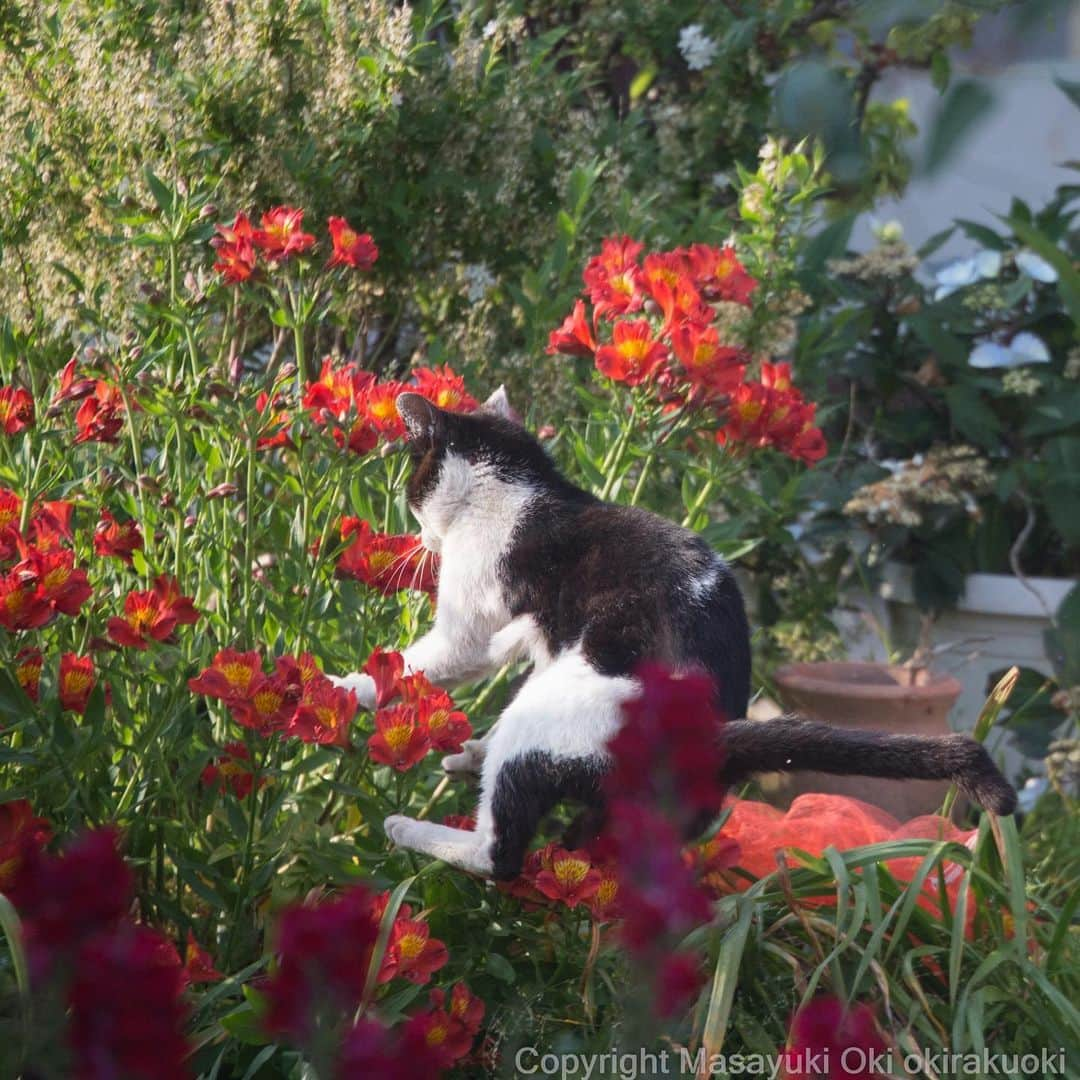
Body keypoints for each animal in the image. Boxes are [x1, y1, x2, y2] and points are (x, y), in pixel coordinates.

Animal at [326, 393, 1010, 881]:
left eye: (413, 489)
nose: (420, 536)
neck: (520, 487)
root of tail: (714, 731)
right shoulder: (538, 639)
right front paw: (464, 744)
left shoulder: (471, 622)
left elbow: (425, 660)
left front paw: (343, 684)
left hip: (552, 712)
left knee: (501, 854)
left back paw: (409, 828)